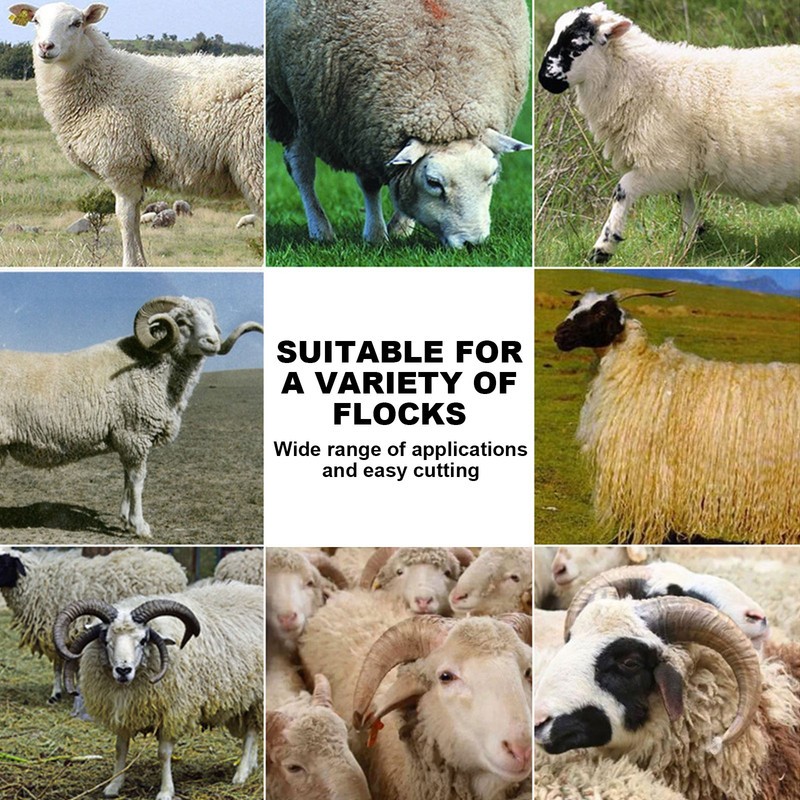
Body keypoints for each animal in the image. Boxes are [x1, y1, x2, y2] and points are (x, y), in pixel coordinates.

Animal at [0, 295, 263, 537]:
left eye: (210, 318)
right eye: (181, 321)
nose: (213, 342)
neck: (149, 365)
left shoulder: (127, 439)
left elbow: (127, 477)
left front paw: (125, 520)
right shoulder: (135, 434)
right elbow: (138, 480)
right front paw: (140, 526)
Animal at [10, 2, 264, 267]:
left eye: (76, 23)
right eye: (36, 21)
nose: (45, 47)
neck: (105, 81)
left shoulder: (122, 163)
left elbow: (125, 218)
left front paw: (131, 263)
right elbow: (134, 219)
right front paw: (142, 262)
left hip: (255, 161)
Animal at [53, 580, 263, 800]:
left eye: (143, 640)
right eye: (106, 641)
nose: (123, 670)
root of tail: (256, 591)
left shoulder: (173, 711)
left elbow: (163, 754)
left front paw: (165, 791)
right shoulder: (125, 710)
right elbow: (120, 748)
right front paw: (113, 785)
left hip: (258, 698)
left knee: (251, 734)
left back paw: (241, 773)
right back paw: (252, 765)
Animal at [266, 0, 531, 248]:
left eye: (493, 174)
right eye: (433, 183)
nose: (472, 243)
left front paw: (400, 228)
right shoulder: (360, 131)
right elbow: (369, 184)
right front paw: (375, 235)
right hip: (287, 103)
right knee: (301, 170)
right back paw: (320, 230)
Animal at [538, 3, 800, 263]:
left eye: (575, 44)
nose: (543, 80)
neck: (642, 80)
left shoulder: (664, 165)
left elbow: (623, 190)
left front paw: (602, 249)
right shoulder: (681, 167)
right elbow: (686, 203)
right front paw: (687, 245)